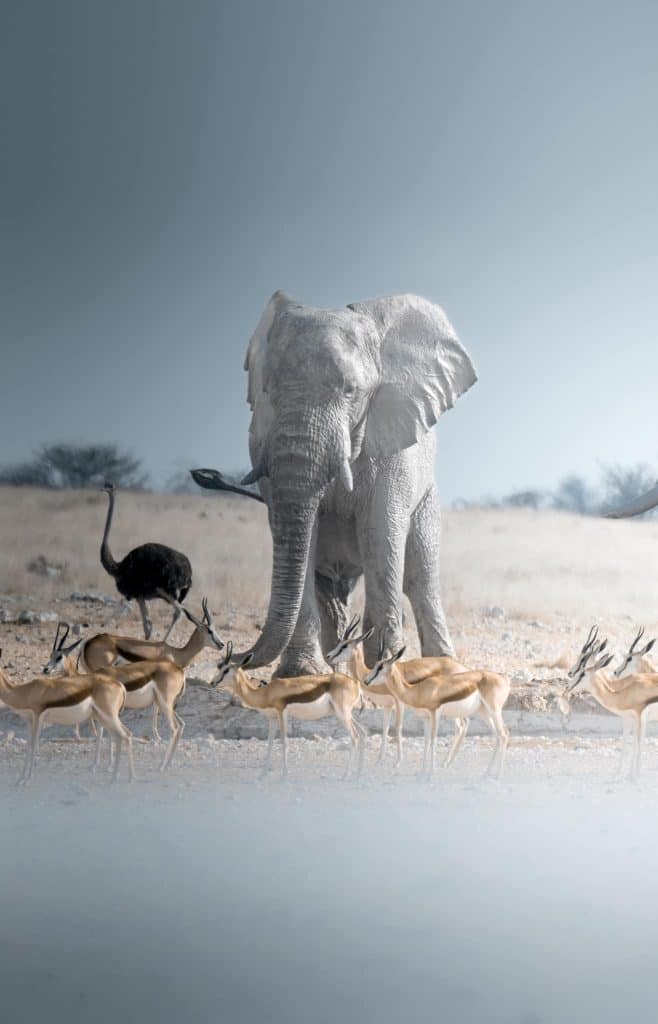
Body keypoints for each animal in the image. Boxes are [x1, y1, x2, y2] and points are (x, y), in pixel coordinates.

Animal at [193, 292, 476, 675]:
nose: (229, 653)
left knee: (419, 572)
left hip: (427, 499)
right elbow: (300, 536)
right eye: (268, 389)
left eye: (351, 391)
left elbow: (381, 529)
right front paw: (300, 676)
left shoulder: (392, 443)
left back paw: (440, 668)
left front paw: (385, 668)